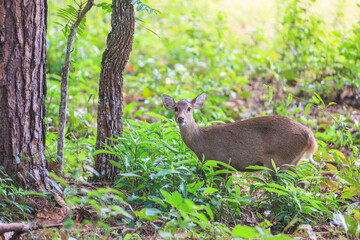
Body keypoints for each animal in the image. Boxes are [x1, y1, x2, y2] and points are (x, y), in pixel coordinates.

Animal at [162, 92, 316, 180]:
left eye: (189, 108)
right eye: (175, 108)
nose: (180, 118)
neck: (201, 143)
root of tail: (309, 135)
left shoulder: (222, 161)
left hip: (278, 160)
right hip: (293, 160)